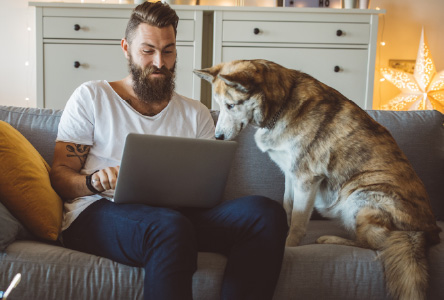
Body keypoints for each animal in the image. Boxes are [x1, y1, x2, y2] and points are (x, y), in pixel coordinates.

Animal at [194, 59, 440, 300]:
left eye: (231, 106)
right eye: (220, 105)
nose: (217, 137)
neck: (282, 104)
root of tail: (423, 232)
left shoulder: (306, 179)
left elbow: (298, 221)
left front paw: (289, 246)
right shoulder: (290, 175)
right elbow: (288, 207)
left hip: (360, 197)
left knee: (375, 244)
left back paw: (330, 239)